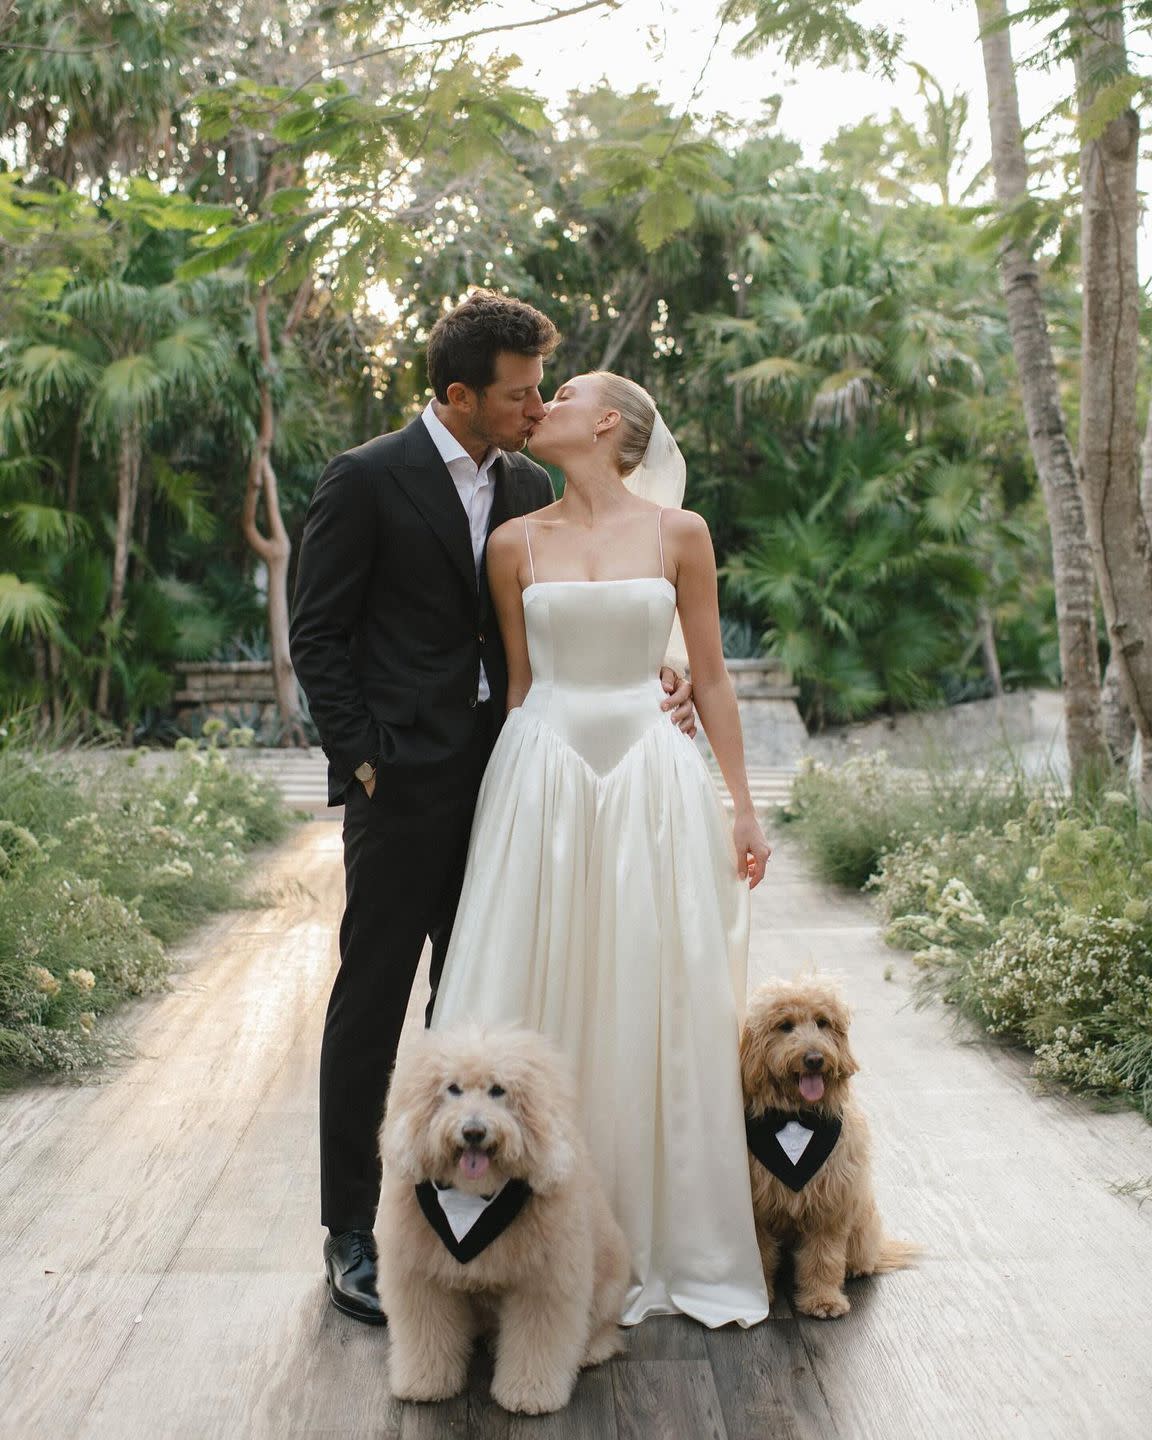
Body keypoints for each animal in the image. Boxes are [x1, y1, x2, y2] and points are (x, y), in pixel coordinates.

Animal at [377, 1025, 630, 1416]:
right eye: (453, 1088)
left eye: (498, 1090)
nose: (473, 1132)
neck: (471, 1200)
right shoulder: (423, 1281)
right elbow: (427, 1336)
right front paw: (425, 1382)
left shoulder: (544, 1285)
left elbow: (536, 1345)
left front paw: (530, 1393)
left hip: (606, 1288)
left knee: (603, 1330)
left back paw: (589, 1351)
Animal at [743, 979, 921, 1319]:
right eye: (785, 1026)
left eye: (822, 1022)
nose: (814, 1058)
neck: (796, 1117)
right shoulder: (758, 1207)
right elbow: (760, 1252)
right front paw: (759, 1296)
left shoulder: (831, 1203)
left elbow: (823, 1257)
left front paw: (822, 1300)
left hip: (862, 1217)